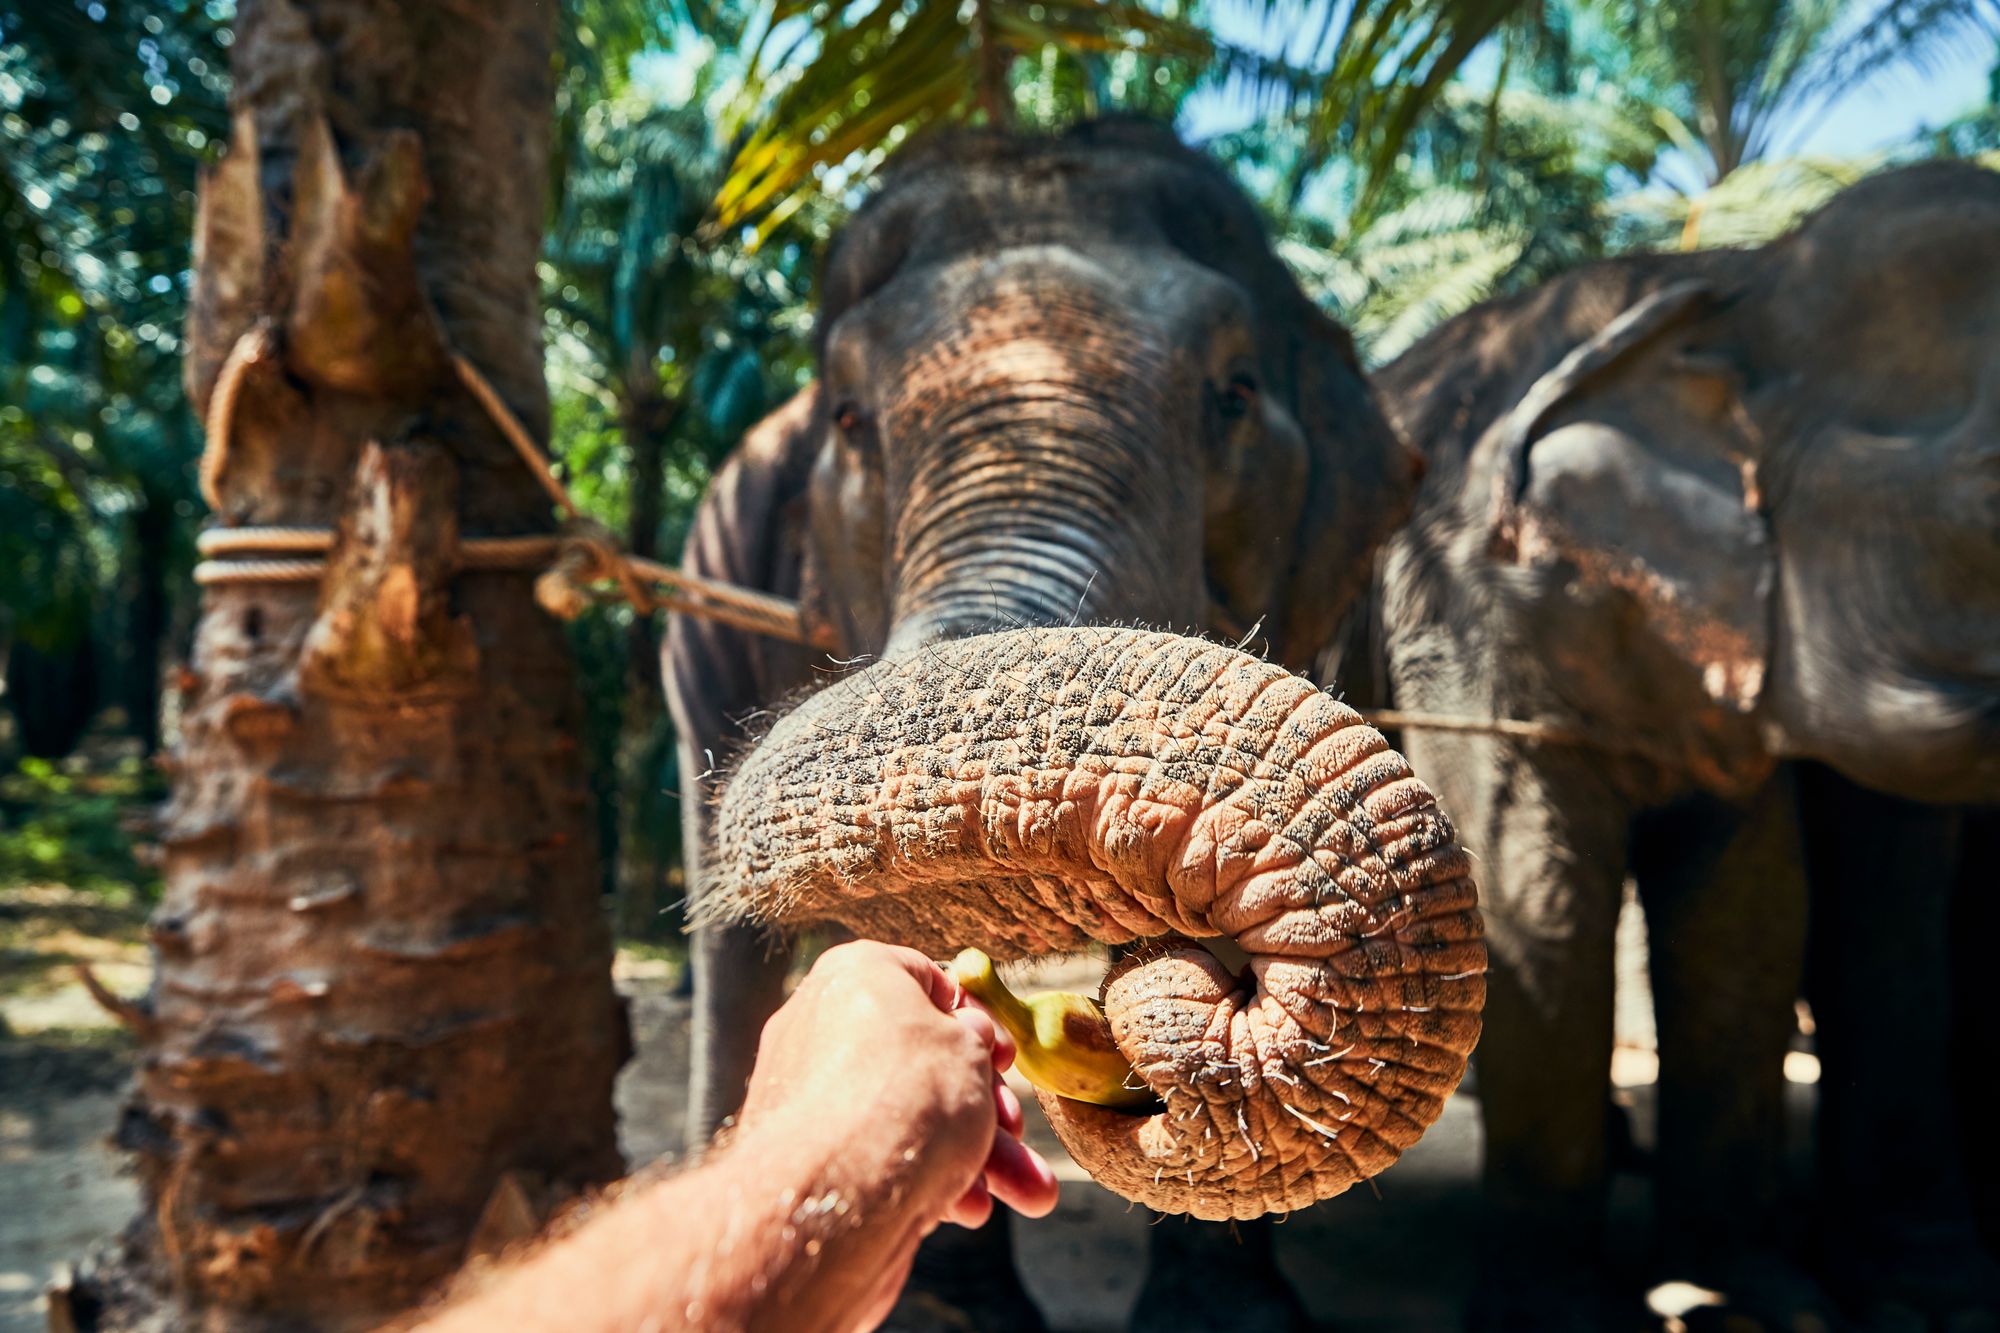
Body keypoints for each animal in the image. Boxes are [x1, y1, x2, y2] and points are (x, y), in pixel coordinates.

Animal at [1344, 161, 2000, 1320]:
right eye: (1994, 492)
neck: (1732, 287)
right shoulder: (1464, 602)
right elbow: (1535, 892)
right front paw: (1558, 1314)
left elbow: (1750, 908)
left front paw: (1762, 1297)